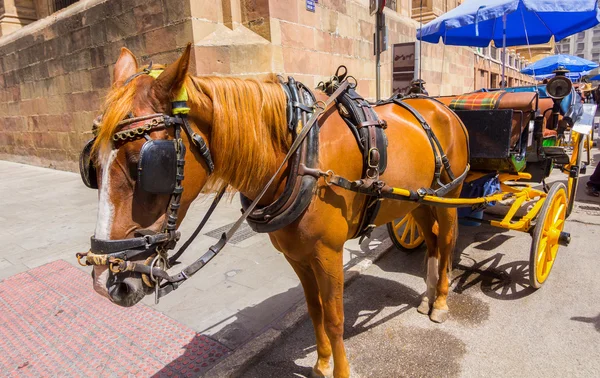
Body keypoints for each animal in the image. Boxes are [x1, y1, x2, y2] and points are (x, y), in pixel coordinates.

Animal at [88, 45, 468, 376]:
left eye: (145, 164)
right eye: (93, 166)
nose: (107, 281)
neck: (300, 157)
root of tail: (440, 107)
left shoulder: (328, 253)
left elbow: (335, 318)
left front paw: (340, 370)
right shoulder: (296, 254)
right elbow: (315, 311)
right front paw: (321, 364)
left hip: (451, 195)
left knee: (447, 241)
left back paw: (441, 302)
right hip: (421, 199)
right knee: (431, 241)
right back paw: (427, 296)